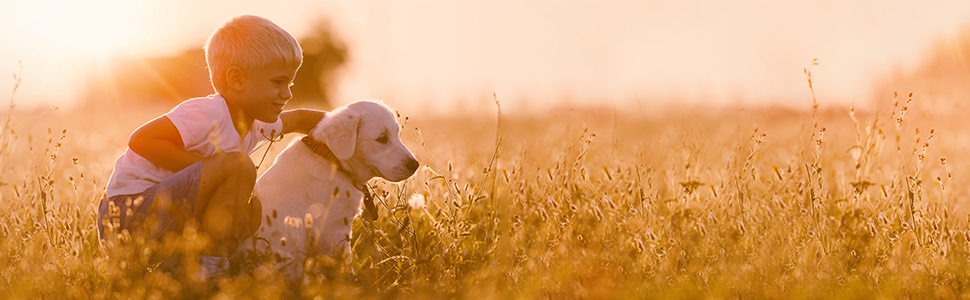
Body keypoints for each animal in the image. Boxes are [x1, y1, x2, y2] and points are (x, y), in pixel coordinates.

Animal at [240, 100, 418, 278]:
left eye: (396, 135)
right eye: (381, 138)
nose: (415, 165)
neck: (333, 161)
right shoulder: (333, 230)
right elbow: (344, 264)